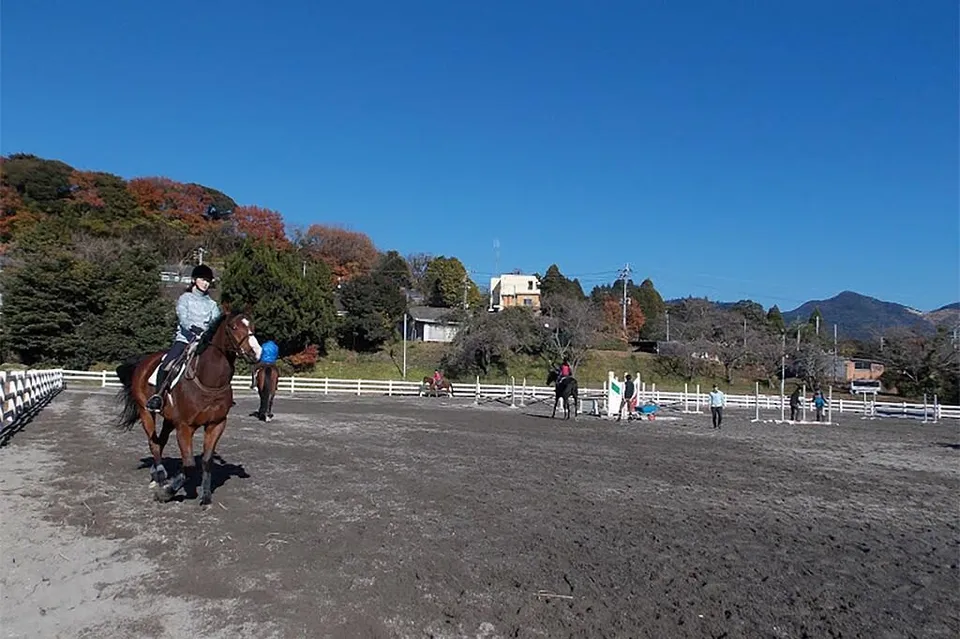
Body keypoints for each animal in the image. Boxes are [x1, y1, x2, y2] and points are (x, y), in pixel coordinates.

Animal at [115, 312, 261, 505]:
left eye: (252, 326)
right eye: (234, 327)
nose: (256, 352)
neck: (208, 381)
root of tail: (144, 361)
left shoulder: (216, 424)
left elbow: (206, 461)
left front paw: (205, 496)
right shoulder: (185, 427)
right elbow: (190, 464)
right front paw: (167, 492)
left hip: (169, 420)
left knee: (160, 442)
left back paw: (156, 475)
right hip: (146, 412)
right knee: (153, 443)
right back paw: (160, 476)